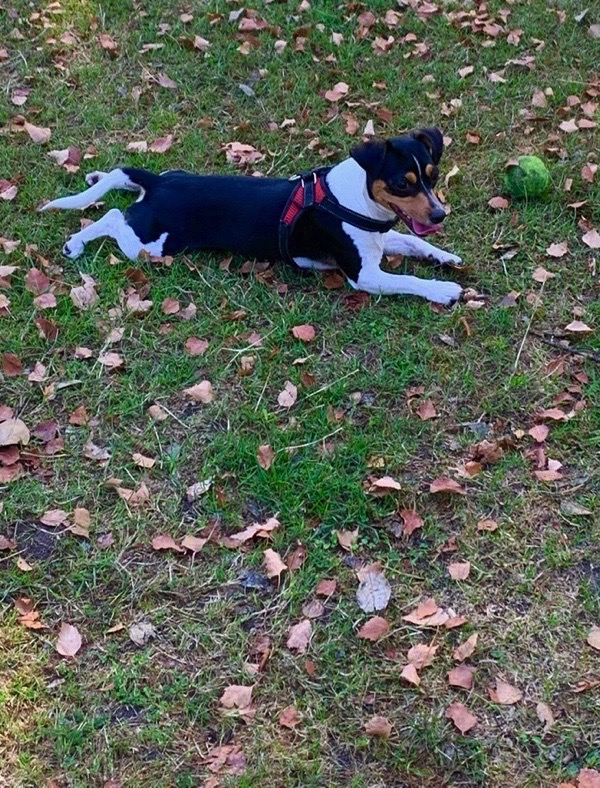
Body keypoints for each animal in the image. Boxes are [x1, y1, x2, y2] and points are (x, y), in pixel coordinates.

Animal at [40, 128, 464, 305]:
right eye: (403, 183)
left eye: (432, 176)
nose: (440, 215)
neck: (354, 199)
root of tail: (160, 184)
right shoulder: (365, 274)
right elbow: (408, 279)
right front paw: (444, 291)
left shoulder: (379, 241)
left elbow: (411, 241)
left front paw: (444, 257)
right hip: (149, 244)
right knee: (113, 215)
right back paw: (75, 242)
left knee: (120, 182)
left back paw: (97, 177)